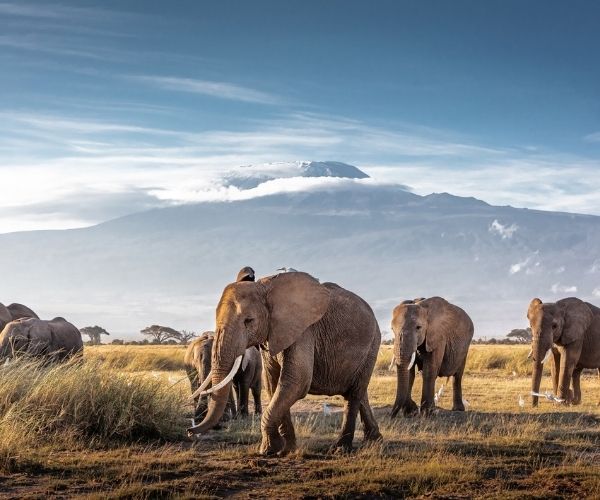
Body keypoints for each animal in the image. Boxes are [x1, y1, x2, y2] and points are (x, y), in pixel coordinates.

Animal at [188, 272, 382, 456]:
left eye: (248, 321)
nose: (190, 431)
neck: (265, 287)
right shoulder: (272, 334)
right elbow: (274, 383)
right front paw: (286, 450)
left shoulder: (304, 331)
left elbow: (296, 381)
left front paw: (268, 450)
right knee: (358, 391)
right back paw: (374, 440)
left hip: (373, 344)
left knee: (354, 394)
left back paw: (341, 449)